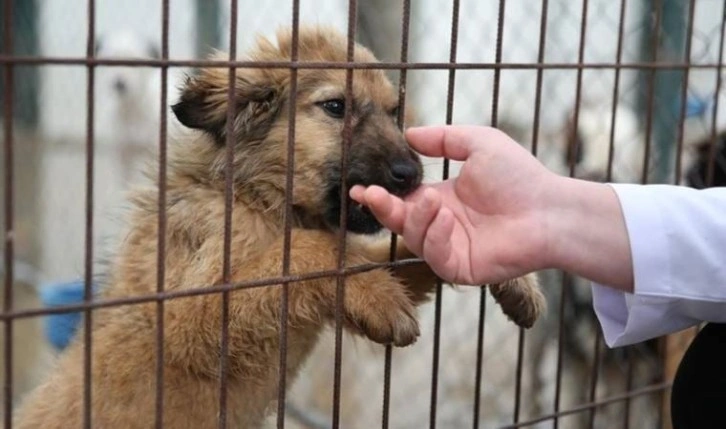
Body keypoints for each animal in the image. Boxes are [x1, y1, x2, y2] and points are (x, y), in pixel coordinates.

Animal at [14, 27, 544, 428]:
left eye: (394, 112)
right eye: (335, 107)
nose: (410, 176)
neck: (261, 200)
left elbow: (394, 257)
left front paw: (511, 271)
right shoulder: (188, 316)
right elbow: (306, 251)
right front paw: (377, 296)